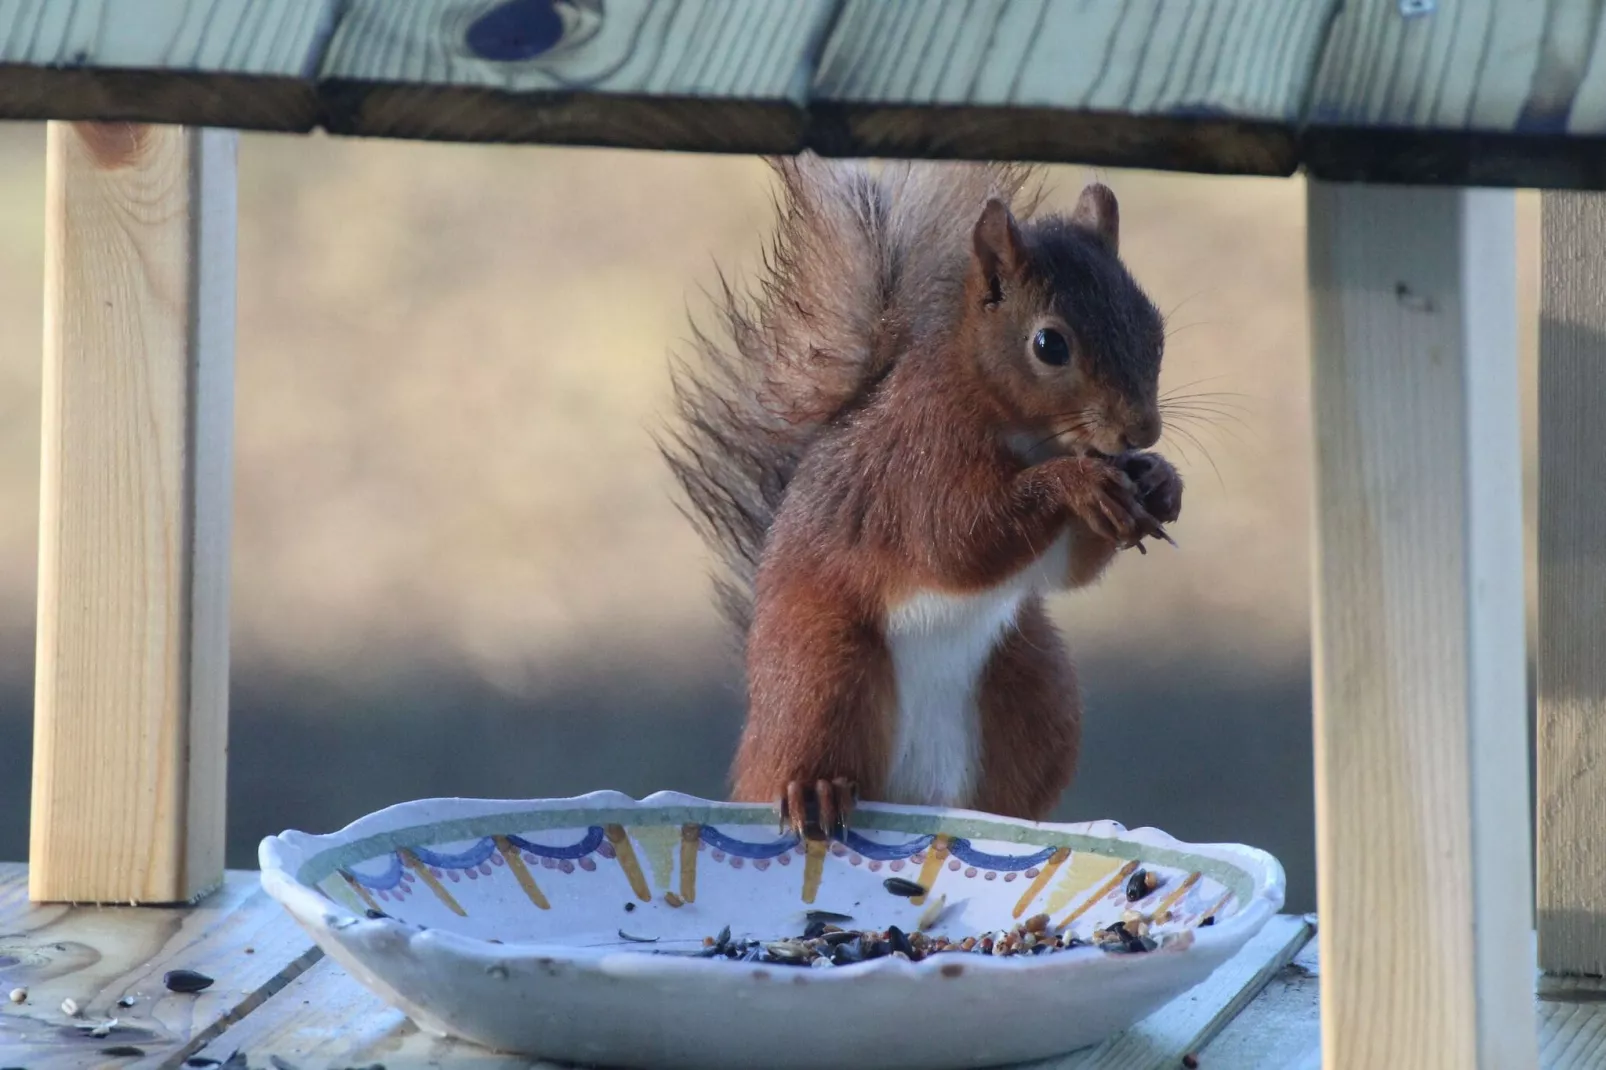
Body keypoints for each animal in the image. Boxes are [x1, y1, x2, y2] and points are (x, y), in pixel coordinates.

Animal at [661, 158, 1182, 835]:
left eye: (1155, 329)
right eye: (1049, 345)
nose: (1142, 432)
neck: (1022, 427)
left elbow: (1066, 569)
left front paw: (1160, 481)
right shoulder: (918, 463)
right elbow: (956, 539)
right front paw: (1079, 483)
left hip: (1036, 689)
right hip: (823, 667)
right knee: (804, 744)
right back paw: (814, 789)